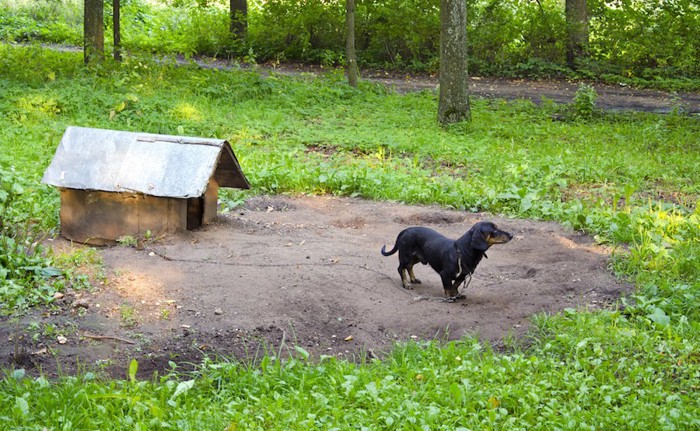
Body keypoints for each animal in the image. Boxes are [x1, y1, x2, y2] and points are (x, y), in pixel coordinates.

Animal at [382, 221, 516, 298]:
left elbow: (455, 284)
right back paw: (406, 284)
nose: (511, 235)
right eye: (494, 230)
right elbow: (448, 286)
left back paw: (414, 279)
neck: (462, 251)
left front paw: (456, 294)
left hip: (417, 257)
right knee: (401, 268)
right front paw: (450, 296)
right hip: (405, 256)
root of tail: (407, 229)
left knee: (409, 266)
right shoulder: (444, 274)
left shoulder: (463, 275)